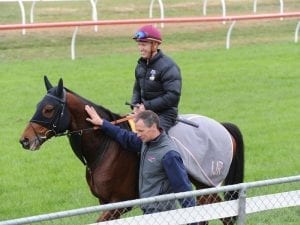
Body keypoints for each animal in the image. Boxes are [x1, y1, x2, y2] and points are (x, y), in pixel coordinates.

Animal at [19, 76, 244, 224]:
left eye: (48, 109)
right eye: (38, 105)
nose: (25, 140)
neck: (106, 146)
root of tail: (223, 127)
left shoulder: (120, 203)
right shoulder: (104, 201)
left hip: (206, 183)